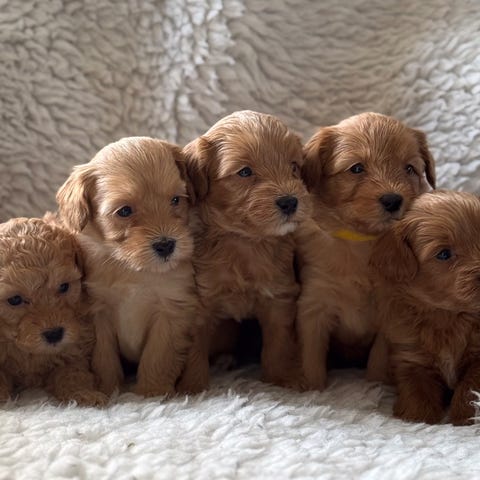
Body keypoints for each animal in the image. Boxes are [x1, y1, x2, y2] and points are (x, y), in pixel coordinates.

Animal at [0, 217, 107, 406]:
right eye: (14, 300)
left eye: (64, 286)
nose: (54, 334)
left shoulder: (75, 346)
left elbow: (72, 372)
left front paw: (83, 394)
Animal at [56, 137, 199, 397]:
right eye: (124, 211)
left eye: (175, 200)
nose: (166, 245)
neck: (132, 269)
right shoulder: (98, 312)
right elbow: (104, 357)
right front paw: (108, 389)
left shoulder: (171, 311)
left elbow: (158, 356)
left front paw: (152, 391)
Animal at [177, 110, 311, 392]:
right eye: (245, 172)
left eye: (293, 166)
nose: (290, 201)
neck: (245, 242)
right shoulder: (200, 302)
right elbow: (194, 349)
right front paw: (192, 388)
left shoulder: (278, 298)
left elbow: (278, 343)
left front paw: (280, 379)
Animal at [296, 112, 436, 390]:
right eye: (357, 168)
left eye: (409, 169)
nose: (393, 200)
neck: (362, 241)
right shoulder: (314, 305)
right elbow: (310, 357)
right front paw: (312, 389)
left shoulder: (392, 312)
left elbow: (379, 359)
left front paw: (375, 386)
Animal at [371, 190, 480, 425]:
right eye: (444, 254)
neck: (447, 319)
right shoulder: (411, 358)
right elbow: (416, 393)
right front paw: (418, 420)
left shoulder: (479, 356)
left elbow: (470, 387)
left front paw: (464, 418)